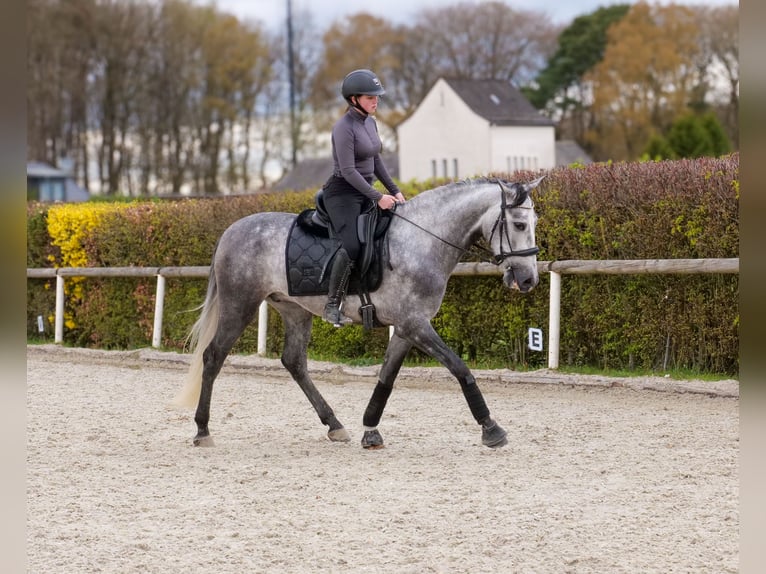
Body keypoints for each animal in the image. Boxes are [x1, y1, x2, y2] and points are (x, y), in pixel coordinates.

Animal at [171, 175, 545, 449]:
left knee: (294, 362)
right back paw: (202, 430)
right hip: (240, 304)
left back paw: (334, 425)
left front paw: (370, 429)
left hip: (294, 310)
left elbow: (386, 378)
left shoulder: (407, 327)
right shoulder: (416, 324)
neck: (422, 241)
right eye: (520, 224)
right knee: (213, 357)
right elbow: (459, 368)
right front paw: (491, 428)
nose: (528, 280)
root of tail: (231, 230)